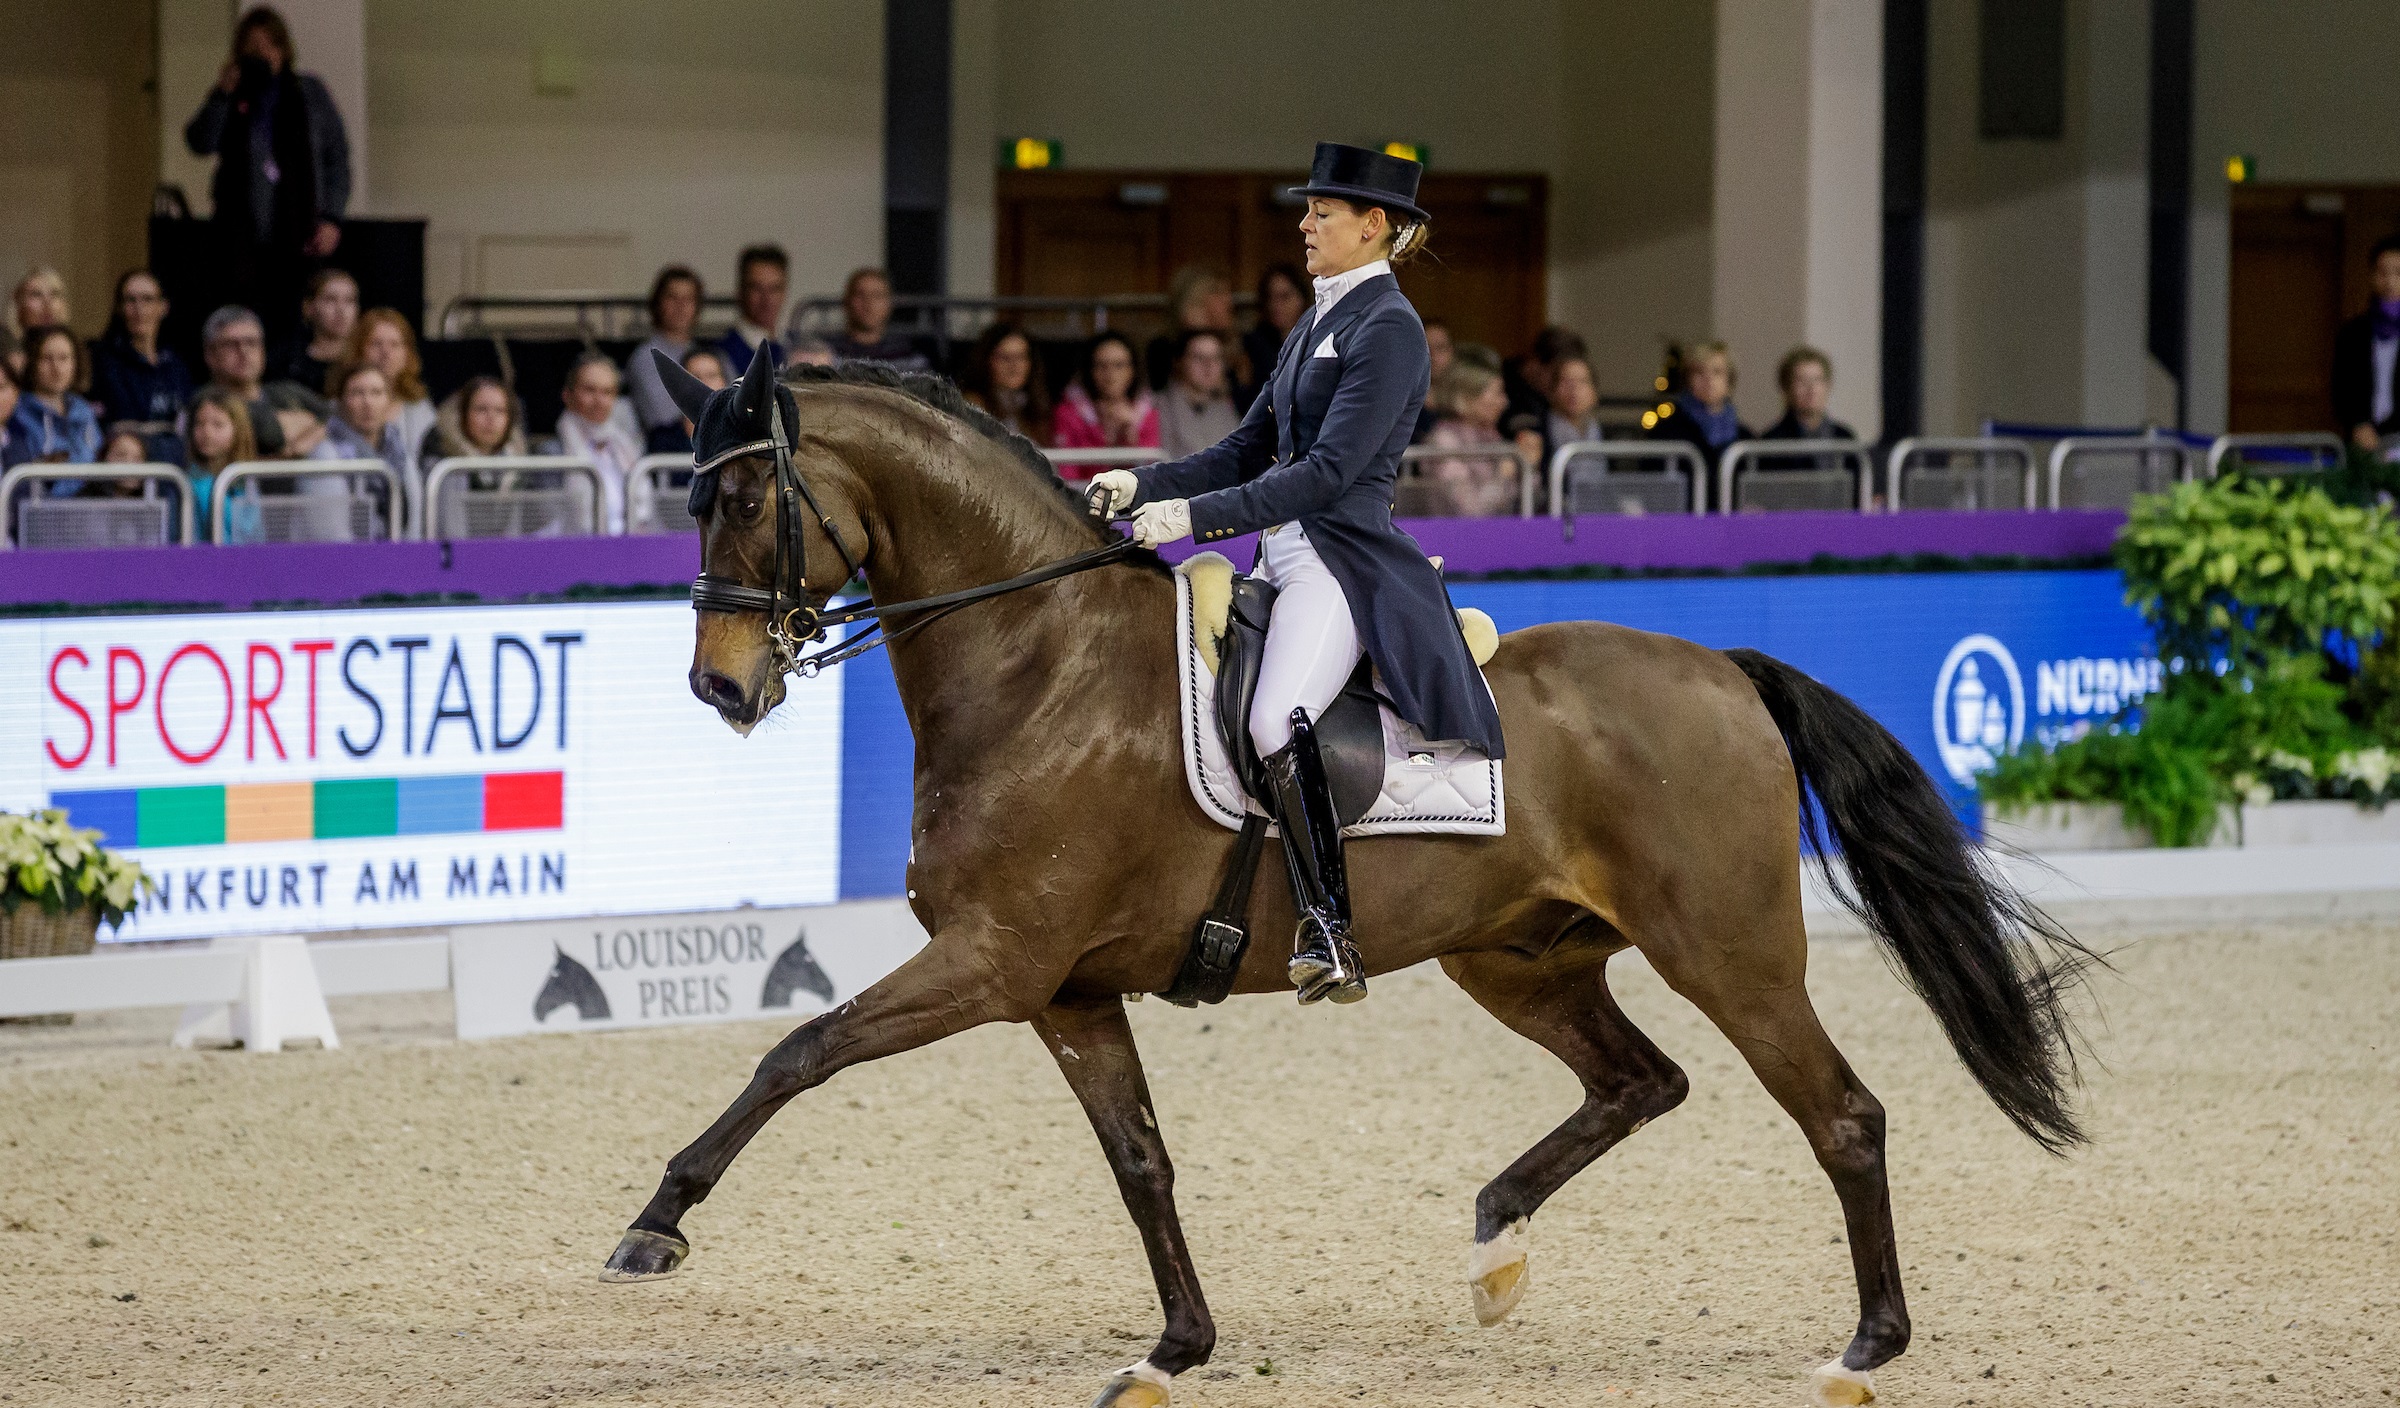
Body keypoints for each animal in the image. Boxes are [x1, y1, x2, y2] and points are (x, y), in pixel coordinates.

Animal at [595, 366, 2083, 1408]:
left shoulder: (992, 960)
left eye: (743, 500)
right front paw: (1176, 1347)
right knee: (1639, 1081)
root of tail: (1722, 668)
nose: (720, 688)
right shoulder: (1065, 990)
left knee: (1843, 1114)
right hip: (1521, 957)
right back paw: (1494, 1247)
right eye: (693, 500)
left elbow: (797, 1051)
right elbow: (1141, 1160)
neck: (1039, 663)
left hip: (1729, 949)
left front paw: (654, 1228)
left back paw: (1866, 1346)